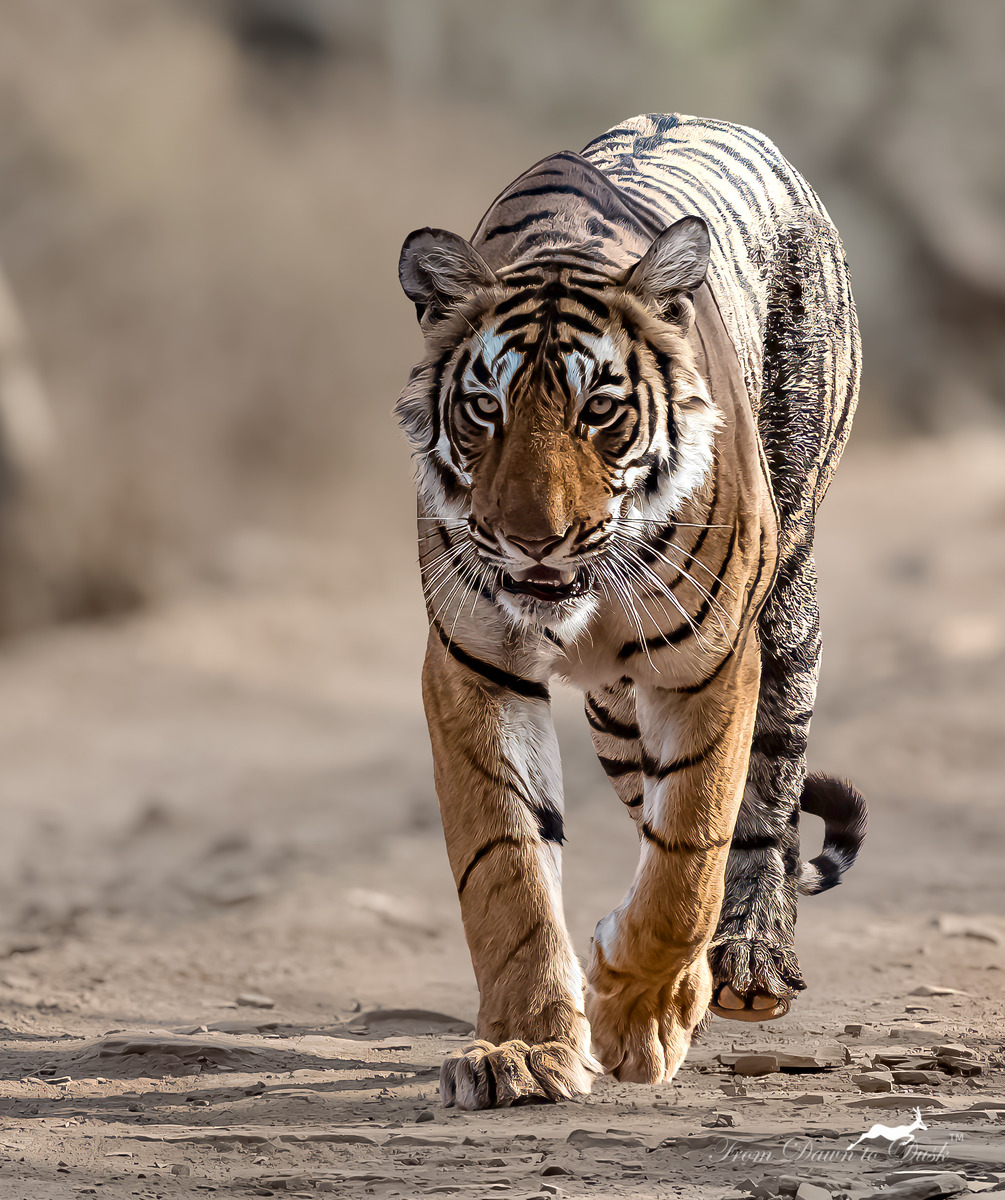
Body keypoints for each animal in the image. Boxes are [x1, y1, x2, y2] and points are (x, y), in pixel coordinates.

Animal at [396, 113, 867, 1110]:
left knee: (767, 804)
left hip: (787, 609)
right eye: (484, 409)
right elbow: (507, 868)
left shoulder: (710, 662)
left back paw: (747, 962)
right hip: (616, 715)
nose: (533, 539)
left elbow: (690, 851)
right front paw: (522, 1050)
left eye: (600, 410)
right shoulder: (473, 666)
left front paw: (643, 1014)